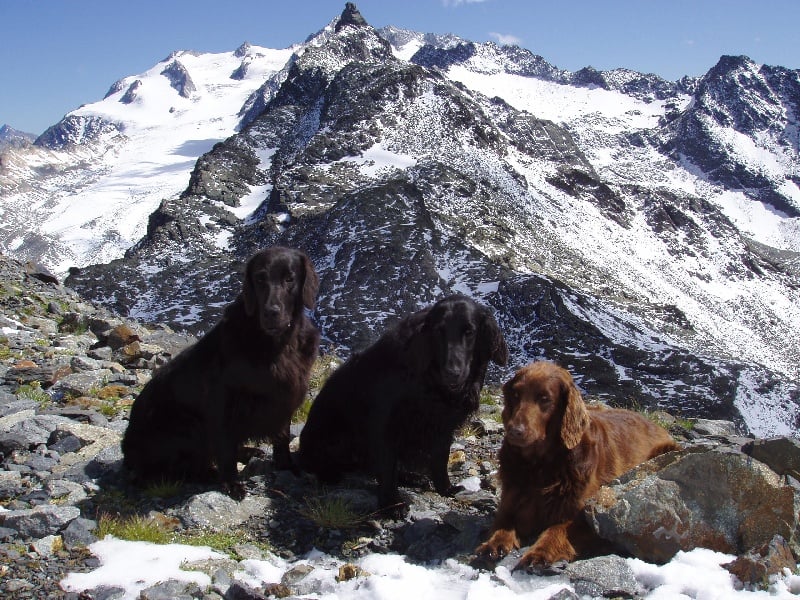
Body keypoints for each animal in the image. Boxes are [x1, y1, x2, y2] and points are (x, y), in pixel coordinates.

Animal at [122, 246, 320, 498]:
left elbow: (282, 436)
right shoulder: (222, 400)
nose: (271, 313)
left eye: (289, 279)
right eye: (260, 279)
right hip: (184, 423)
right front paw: (232, 483)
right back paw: (211, 472)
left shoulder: (285, 396)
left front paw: (286, 466)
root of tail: (127, 453)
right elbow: (225, 449)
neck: (278, 344)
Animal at [299, 295, 508, 512]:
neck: (429, 379)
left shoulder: (443, 425)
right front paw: (392, 503)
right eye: (438, 331)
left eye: (469, 332)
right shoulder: (385, 421)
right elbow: (387, 465)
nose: (452, 373)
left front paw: (446, 488)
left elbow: (440, 459)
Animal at [475, 361, 679, 569]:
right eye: (516, 395)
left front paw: (538, 553)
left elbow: (556, 530)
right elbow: (503, 522)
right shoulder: (511, 498)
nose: (514, 431)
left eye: (544, 398)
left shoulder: (585, 514)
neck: (540, 464)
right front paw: (494, 543)